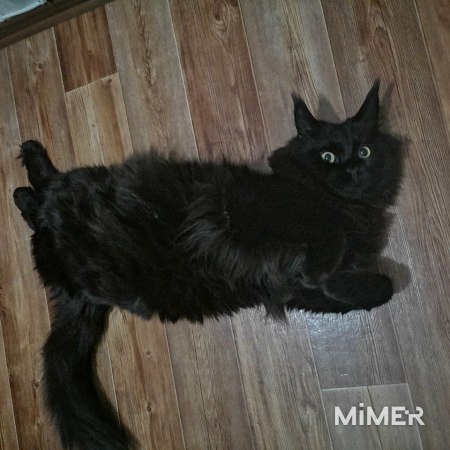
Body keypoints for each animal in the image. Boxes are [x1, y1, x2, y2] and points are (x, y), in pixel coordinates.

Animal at [13, 80, 404, 450]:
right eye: (327, 155)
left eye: (365, 151)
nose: (353, 169)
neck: (343, 208)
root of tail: (67, 283)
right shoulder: (240, 213)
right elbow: (332, 245)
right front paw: (321, 266)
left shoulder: (295, 294)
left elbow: (374, 289)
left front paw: (335, 279)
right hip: (84, 189)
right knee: (42, 191)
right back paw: (31, 153)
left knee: (34, 200)